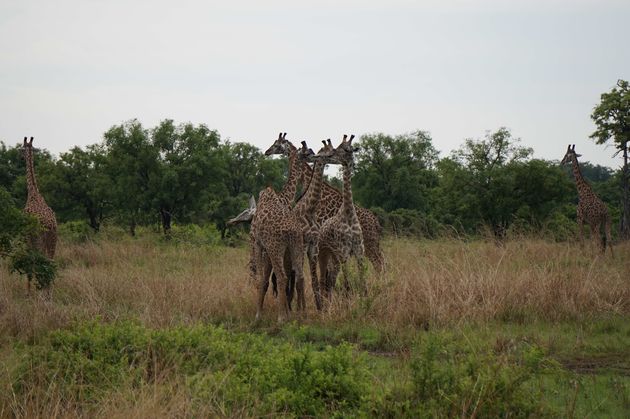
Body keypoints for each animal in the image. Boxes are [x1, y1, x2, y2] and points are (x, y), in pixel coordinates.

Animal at [318, 135, 368, 302]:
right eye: (337, 148)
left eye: (344, 149)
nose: (331, 154)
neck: (349, 214)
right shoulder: (344, 251)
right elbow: (347, 284)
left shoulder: (359, 251)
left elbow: (363, 282)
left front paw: (365, 299)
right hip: (324, 254)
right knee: (325, 279)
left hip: (335, 258)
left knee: (331, 279)